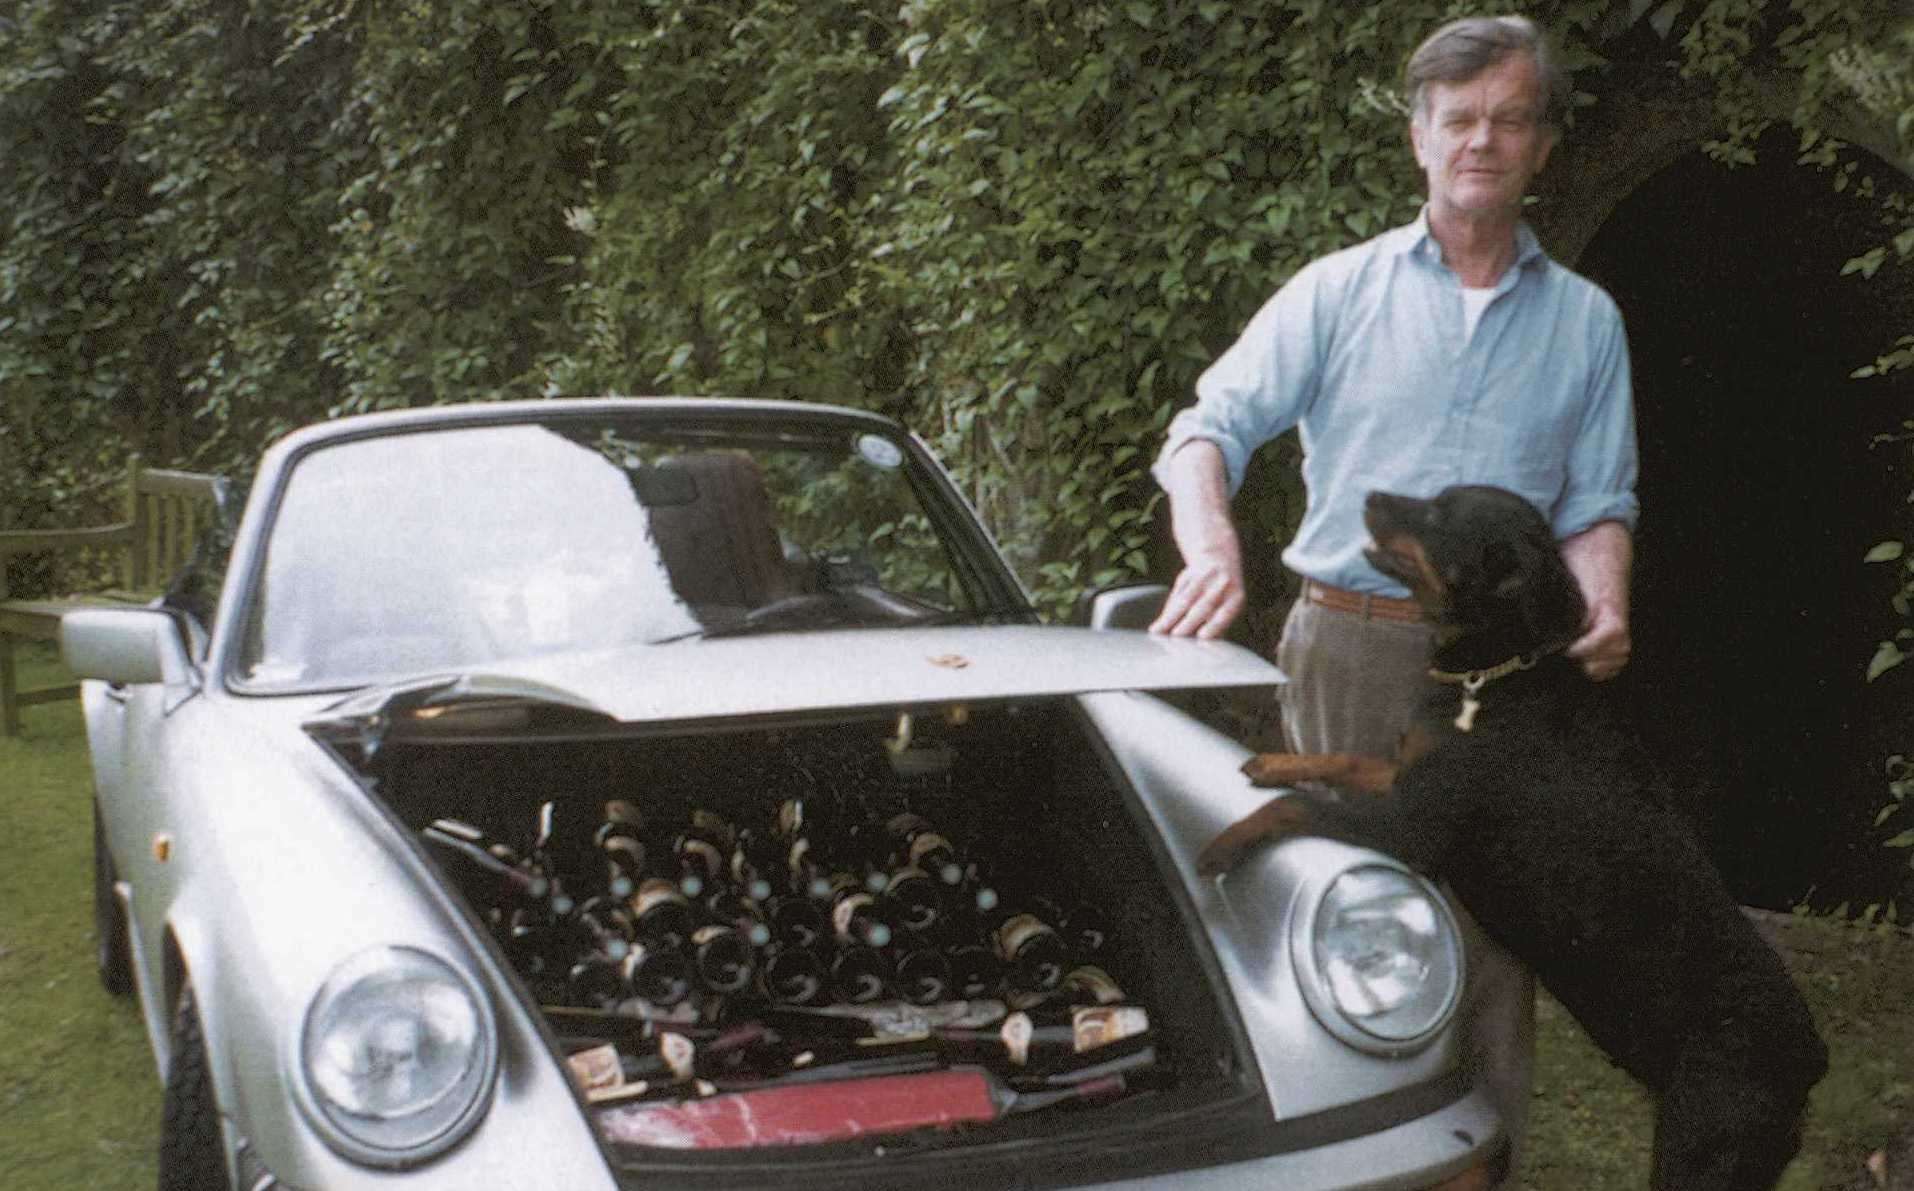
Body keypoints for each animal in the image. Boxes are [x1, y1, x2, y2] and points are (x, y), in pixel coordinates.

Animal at [1201, 488, 1829, 1191]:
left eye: (1442, 516)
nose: (1371, 496)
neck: (1491, 678)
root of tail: (1810, 1063)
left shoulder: (1410, 828)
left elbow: (1297, 806)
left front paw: (1225, 841)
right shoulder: (1412, 773)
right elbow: (1346, 761)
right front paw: (1272, 762)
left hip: (1701, 1146)